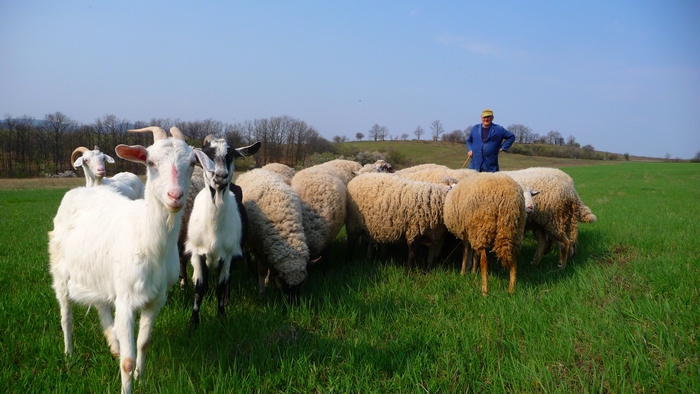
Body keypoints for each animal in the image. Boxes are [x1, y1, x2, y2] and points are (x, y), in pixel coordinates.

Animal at [50, 126, 205, 394]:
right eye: (150, 162)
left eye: (193, 163)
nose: (175, 195)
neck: (147, 241)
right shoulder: (126, 300)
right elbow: (128, 361)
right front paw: (128, 383)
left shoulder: (157, 298)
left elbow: (143, 343)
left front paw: (142, 379)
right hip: (60, 271)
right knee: (66, 315)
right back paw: (69, 354)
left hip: (98, 274)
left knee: (101, 304)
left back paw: (113, 343)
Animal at [185, 135, 262, 326]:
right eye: (206, 154)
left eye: (232, 155)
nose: (220, 176)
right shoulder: (197, 254)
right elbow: (199, 289)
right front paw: (193, 323)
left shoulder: (227, 255)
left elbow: (220, 287)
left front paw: (221, 316)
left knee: (229, 279)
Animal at [235, 168, 312, 300]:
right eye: (284, 284)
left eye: (302, 284)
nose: (294, 303)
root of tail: (253, 170)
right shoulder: (258, 247)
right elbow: (262, 269)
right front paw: (262, 291)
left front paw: (267, 281)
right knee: (246, 254)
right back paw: (249, 269)